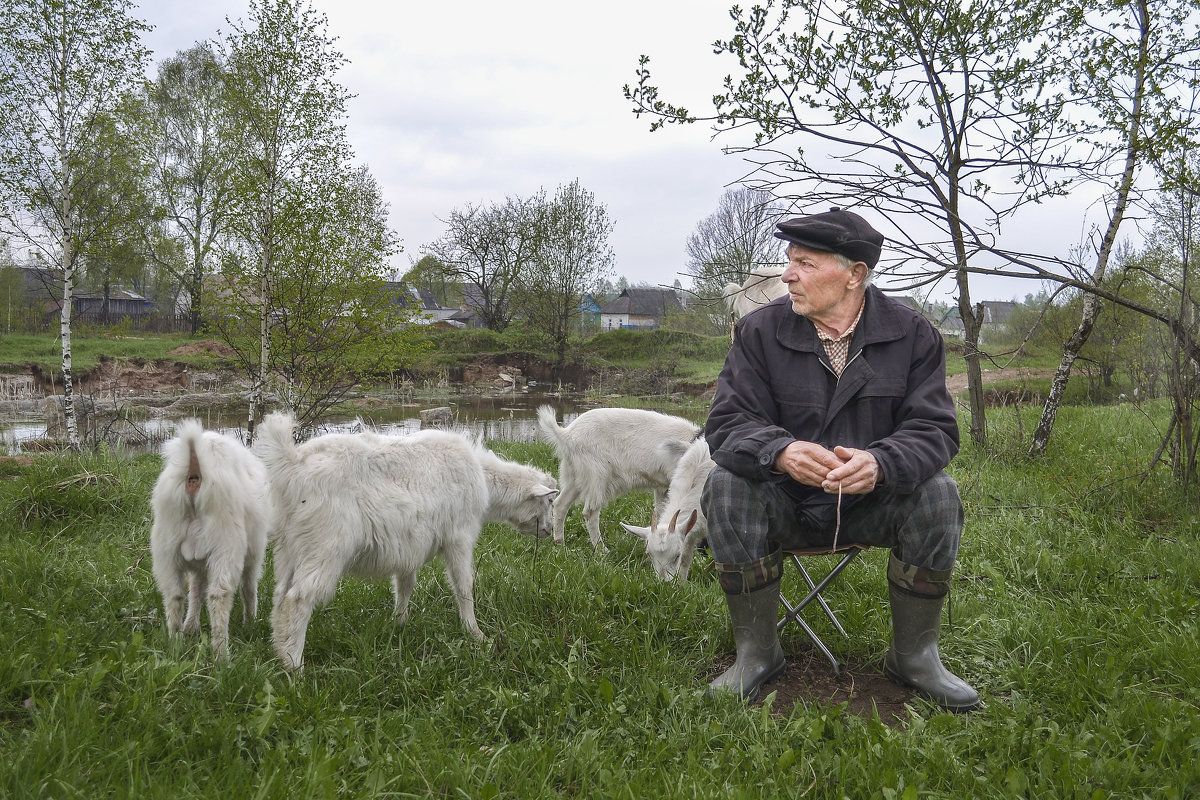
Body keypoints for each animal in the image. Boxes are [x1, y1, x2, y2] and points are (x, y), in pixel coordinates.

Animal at [150, 419, 270, 657]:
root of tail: (195, 473)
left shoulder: (199, 562)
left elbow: (196, 589)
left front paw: (191, 628)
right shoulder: (254, 552)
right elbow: (249, 587)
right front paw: (251, 623)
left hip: (166, 548)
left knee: (174, 595)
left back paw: (176, 644)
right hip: (226, 545)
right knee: (218, 596)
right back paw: (222, 654)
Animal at [258, 412, 492, 671]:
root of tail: (292, 463)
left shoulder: (409, 548)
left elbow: (405, 584)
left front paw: (399, 623)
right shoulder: (459, 535)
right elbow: (463, 584)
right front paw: (476, 633)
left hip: (290, 545)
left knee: (280, 595)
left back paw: (280, 651)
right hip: (325, 544)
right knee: (298, 598)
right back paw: (295, 666)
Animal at [537, 407, 700, 551]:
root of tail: (566, 434)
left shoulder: (662, 487)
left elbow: (662, 510)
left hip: (576, 474)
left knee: (561, 504)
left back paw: (559, 543)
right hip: (596, 474)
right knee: (590, 512)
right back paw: (601, 549)